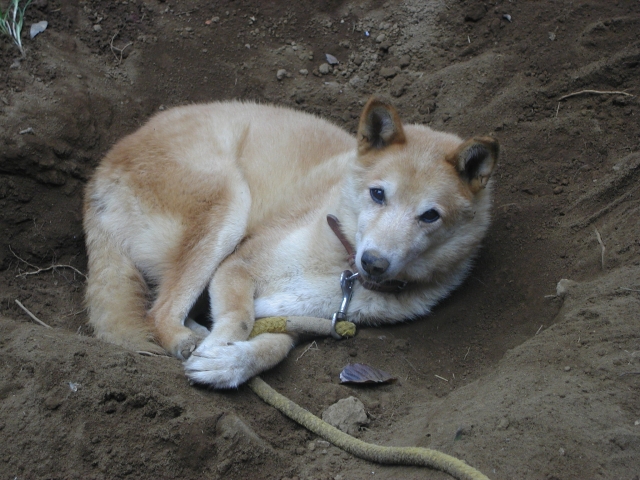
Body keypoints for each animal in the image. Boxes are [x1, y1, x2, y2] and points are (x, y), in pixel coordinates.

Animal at [82, 97, 498, 390]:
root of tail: (99, 176)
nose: (374, 262)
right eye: (378, 194)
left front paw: (227, 365)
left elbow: (270, 349)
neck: (341, 268)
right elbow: (238, 320)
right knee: (160, 314)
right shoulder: (236, 266)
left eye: (430, 216)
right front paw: (218, 349)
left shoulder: (299, 320)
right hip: (229, 206)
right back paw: (190, 339)